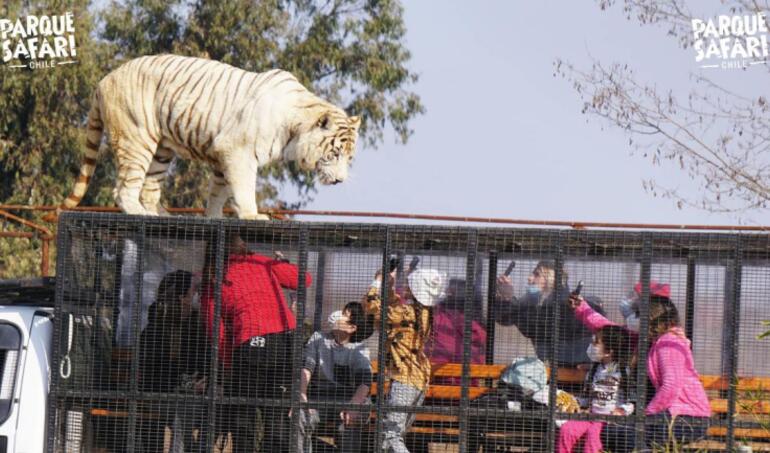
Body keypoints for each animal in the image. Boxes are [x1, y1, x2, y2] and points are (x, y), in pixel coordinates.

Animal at [52, 53, 358, 220]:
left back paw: (159, 215)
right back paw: (139, 213)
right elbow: (243, 189)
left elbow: (217, 193)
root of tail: (104, 80)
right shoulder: (238, 152)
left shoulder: (223, 157)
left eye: (349, 157)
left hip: (161, 150)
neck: (295, 128)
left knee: (150, 189)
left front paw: (213, 217)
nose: (341, 180)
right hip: (136, 138)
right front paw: (253, 215)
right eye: (334, 154)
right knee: (124, 188)